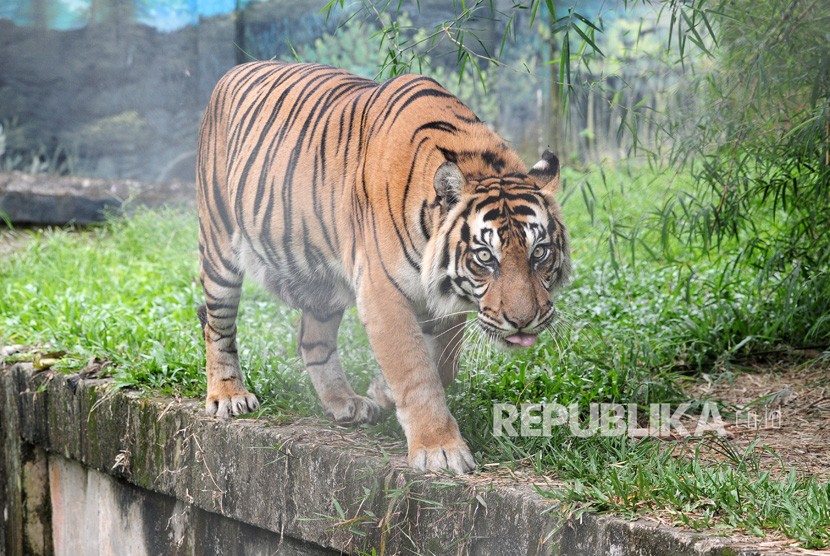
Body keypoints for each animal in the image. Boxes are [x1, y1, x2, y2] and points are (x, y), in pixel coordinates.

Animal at [196, 60, 572, 472]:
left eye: (539, 252)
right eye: (485, 257)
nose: (523, 321)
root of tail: (232, 70)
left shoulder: (445, 298)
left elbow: (442, 364)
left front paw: (381, 390)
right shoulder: (382, 294)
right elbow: (415, 370)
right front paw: (439, 449)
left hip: (322, 281)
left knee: (313, 340)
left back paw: (344, 403)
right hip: (219, 245)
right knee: (217, 325)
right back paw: (229, 395)